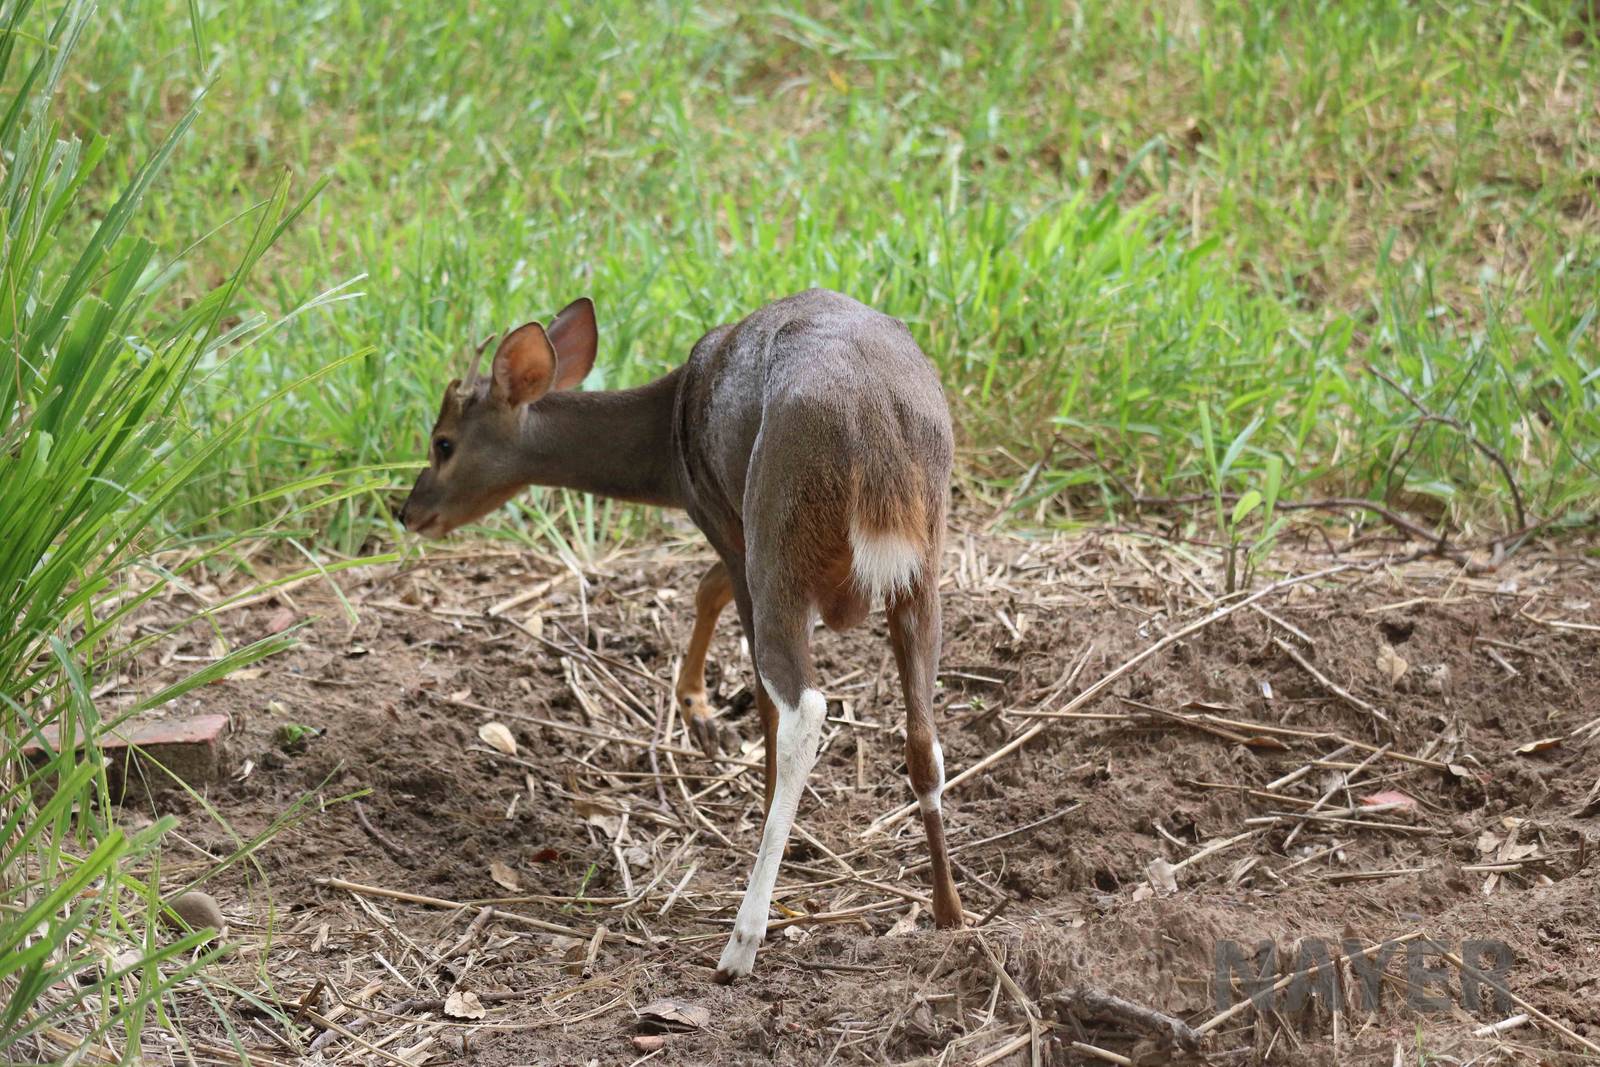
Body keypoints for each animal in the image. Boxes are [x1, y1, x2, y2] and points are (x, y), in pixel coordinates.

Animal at [398, 289, 963, 981]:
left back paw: (742, 942)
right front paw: (696, 707)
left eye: (442, 442)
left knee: (804, 706)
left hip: (779, 528)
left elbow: (728, 629)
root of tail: (873, 424)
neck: (667, 441)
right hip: (923, 560)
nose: (408, 511)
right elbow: (706, 589)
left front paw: (701, 715)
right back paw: (949, 911)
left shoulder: (723, 516)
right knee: (923, 737)